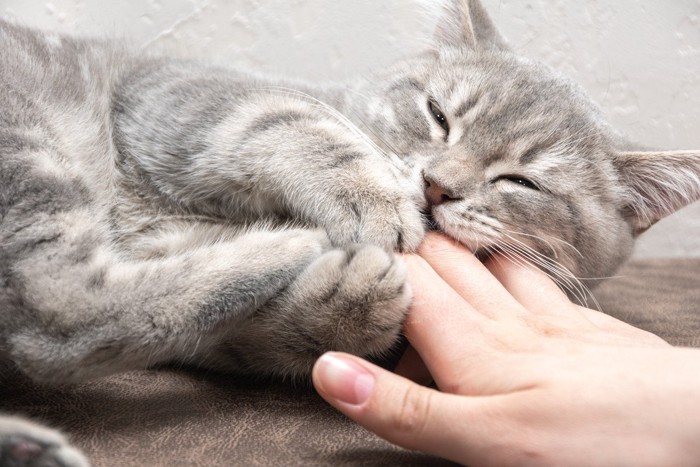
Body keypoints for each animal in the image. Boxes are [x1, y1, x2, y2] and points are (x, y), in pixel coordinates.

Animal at [1, 0, 700, 466]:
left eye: (521, 182)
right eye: (437, 115)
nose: (437, 187)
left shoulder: (175, 261)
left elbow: (238, 335)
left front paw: (344, 303)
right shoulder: (173, 95)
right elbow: (290, 119)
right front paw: (369, 198)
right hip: (30, 142)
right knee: (54, 314)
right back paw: (287, 242)